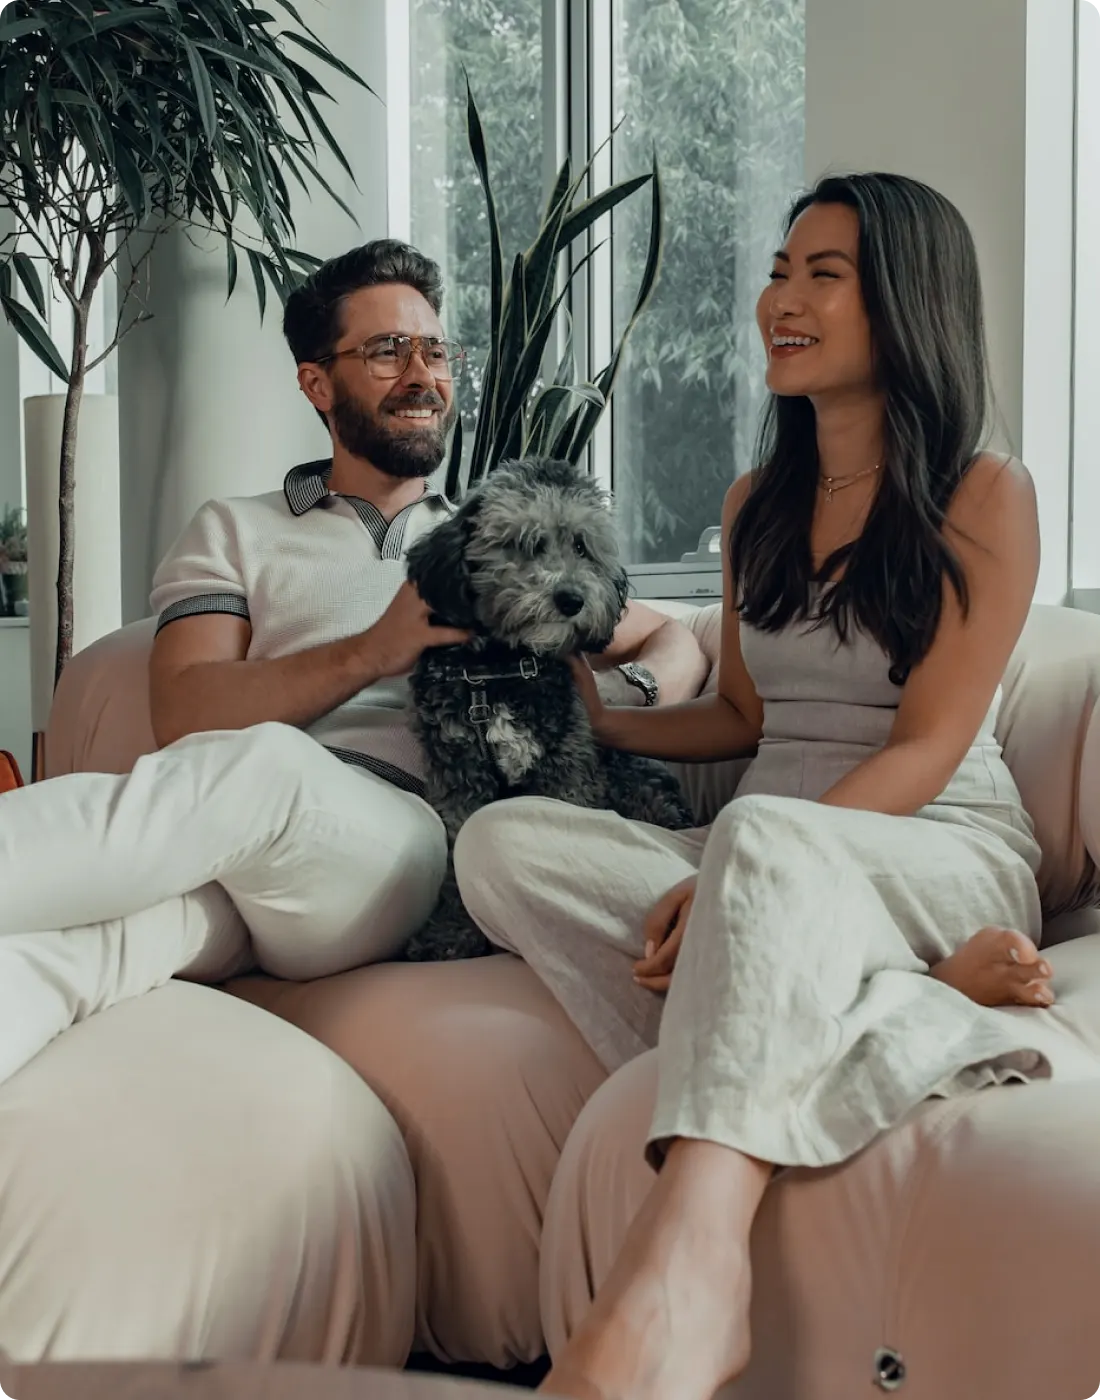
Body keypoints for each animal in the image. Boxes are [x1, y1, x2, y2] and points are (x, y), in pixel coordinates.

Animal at [403, 459, 694, 963]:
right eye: (525, 542)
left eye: (581, 544)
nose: (571, 599)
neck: (500, 668)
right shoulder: (459, 778)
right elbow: (457, 856)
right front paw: (451, 933)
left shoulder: (566, 768)